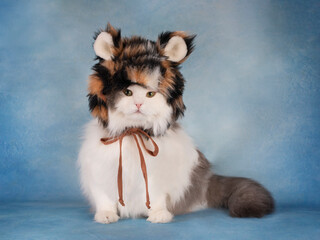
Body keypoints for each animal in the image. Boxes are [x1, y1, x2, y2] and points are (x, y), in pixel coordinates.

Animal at [79, 23, 274, 224]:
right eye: (127, 92)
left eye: (150, 94)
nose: (139, 104)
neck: (135, 132)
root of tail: (207, 179)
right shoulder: (100, 174)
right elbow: (104, 199)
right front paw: (106, 215)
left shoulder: (158, 178)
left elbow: (156, 198)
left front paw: (159, 216)